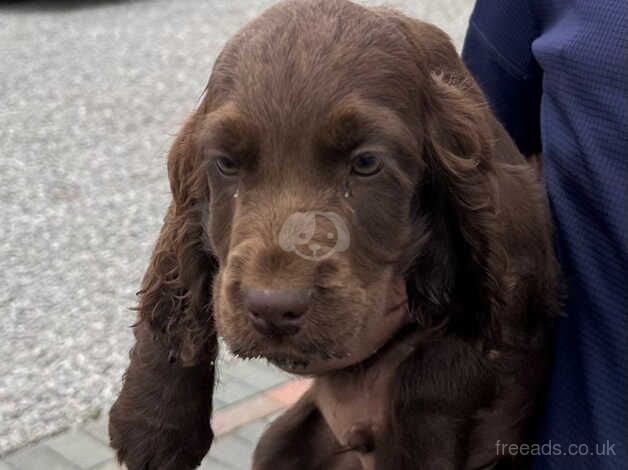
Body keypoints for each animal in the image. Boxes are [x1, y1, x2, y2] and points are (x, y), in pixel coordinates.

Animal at [108, 1, 560, 468]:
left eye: (366, 163)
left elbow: (438, 368)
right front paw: (153, 426)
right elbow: (174, 282)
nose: (272, 309)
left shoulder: (511, 282)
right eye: (226, 164)